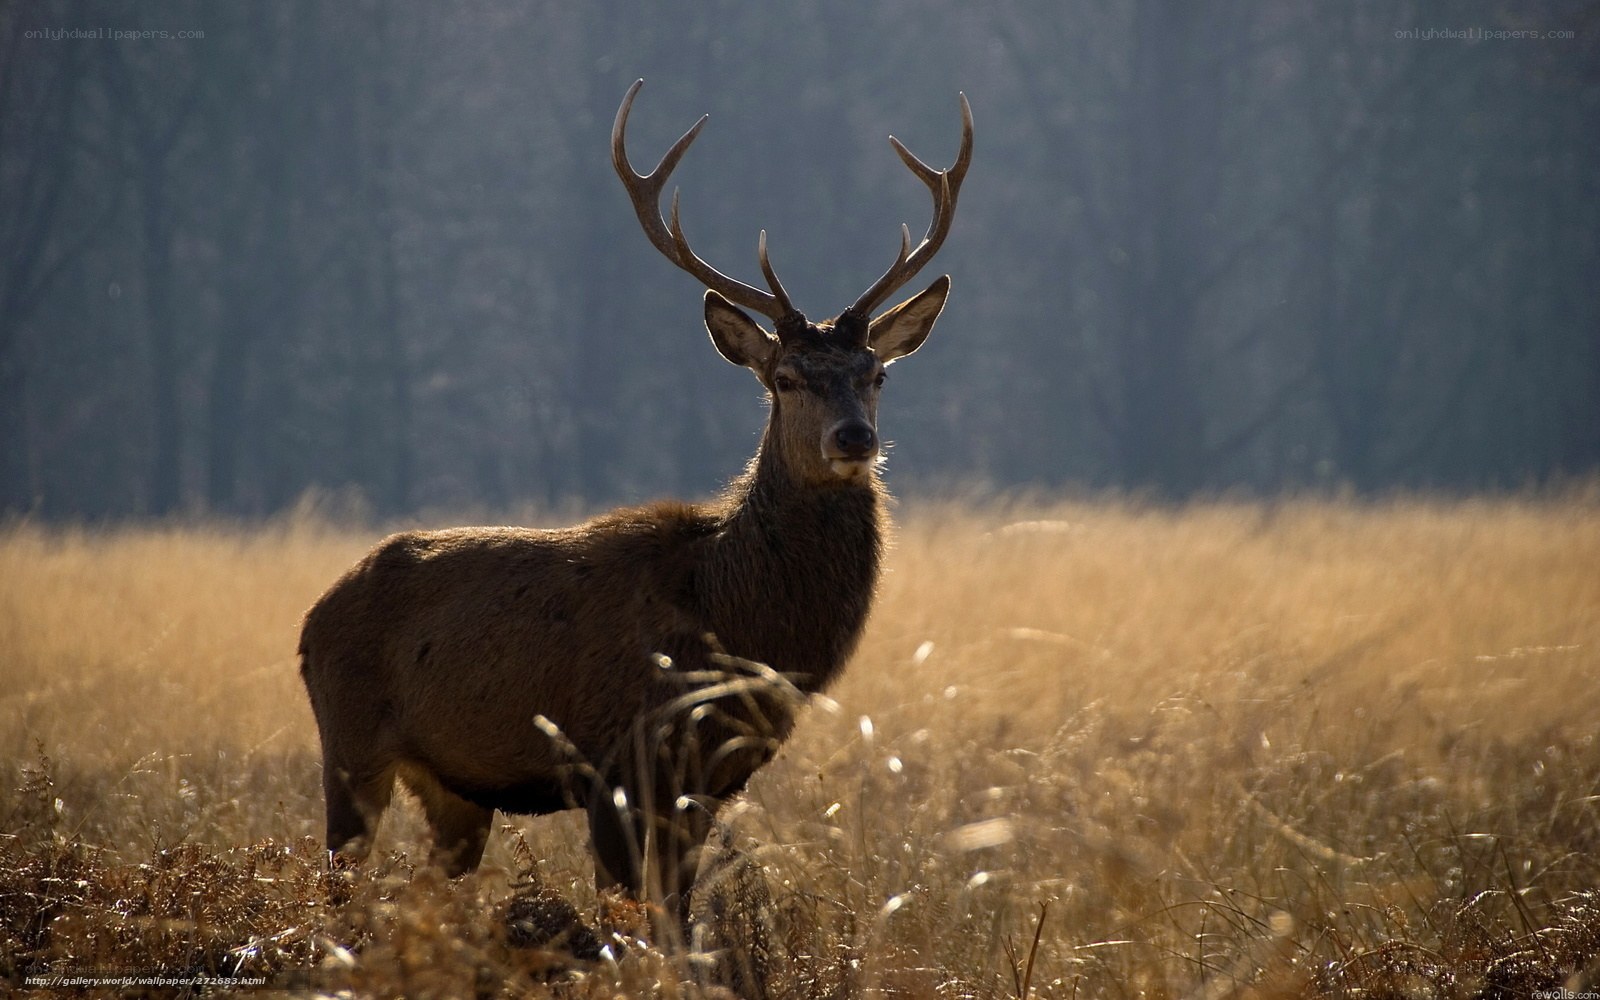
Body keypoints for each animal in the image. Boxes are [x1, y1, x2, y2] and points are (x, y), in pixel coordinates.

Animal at [298, 79, 971, 923]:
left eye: (876, 373)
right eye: (785, 378)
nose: (854, 437)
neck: (731, 619)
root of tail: (310, 621)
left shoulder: (707, 783)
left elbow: (679, 919)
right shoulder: (615, 761)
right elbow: (631, 922)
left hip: (457, 790)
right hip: (348, 747)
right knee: (335, 883)